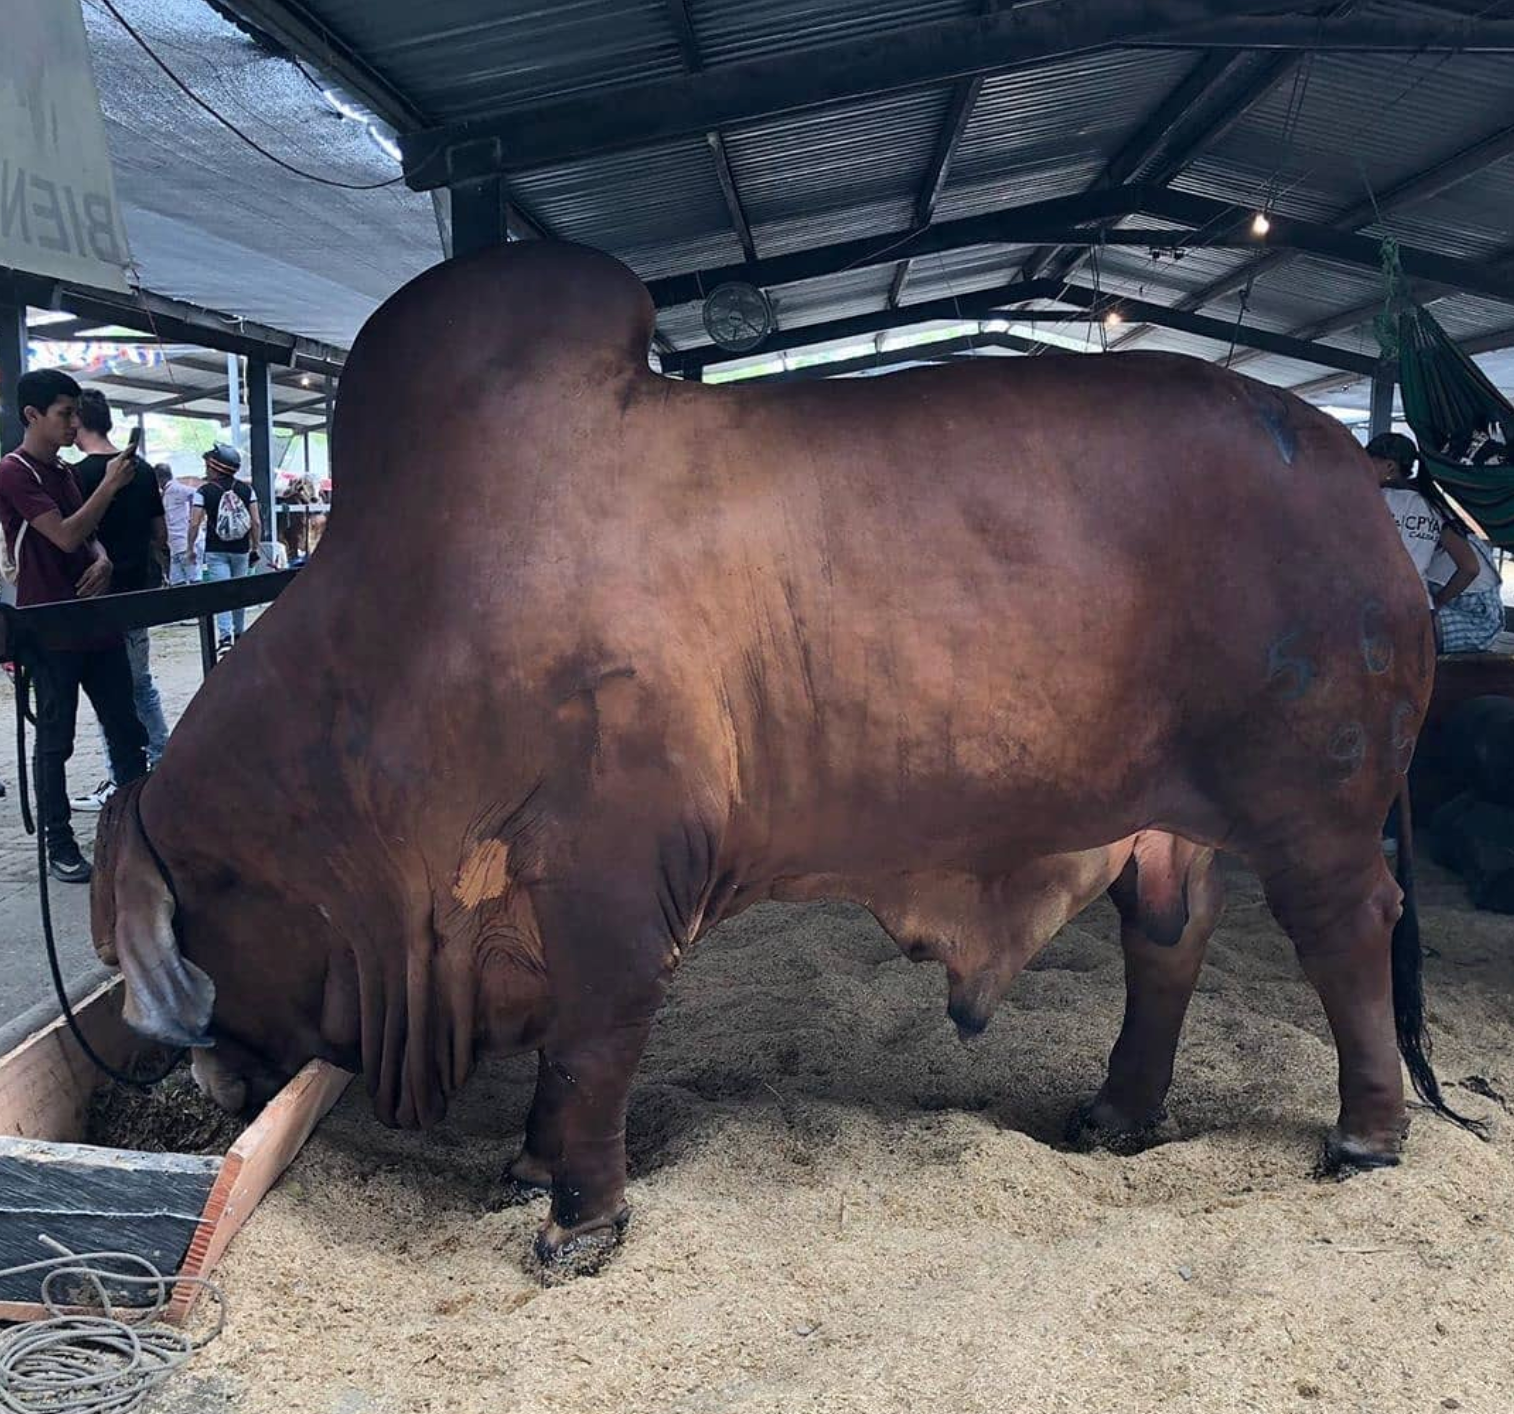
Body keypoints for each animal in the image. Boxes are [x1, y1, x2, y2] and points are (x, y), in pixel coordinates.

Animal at [91, 240, 1473, 1276]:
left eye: (194, 915)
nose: (206, 1083)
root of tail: (1349, 466)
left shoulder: (609, 887)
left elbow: (589, 1049)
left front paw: (576, 1222)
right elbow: (556, 1062)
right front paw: (527, 1167)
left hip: (1314, 803)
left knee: (1346, 933)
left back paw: (1364, 1135)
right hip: (1159, 818)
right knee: (1168, 939)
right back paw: (1116, 1113)